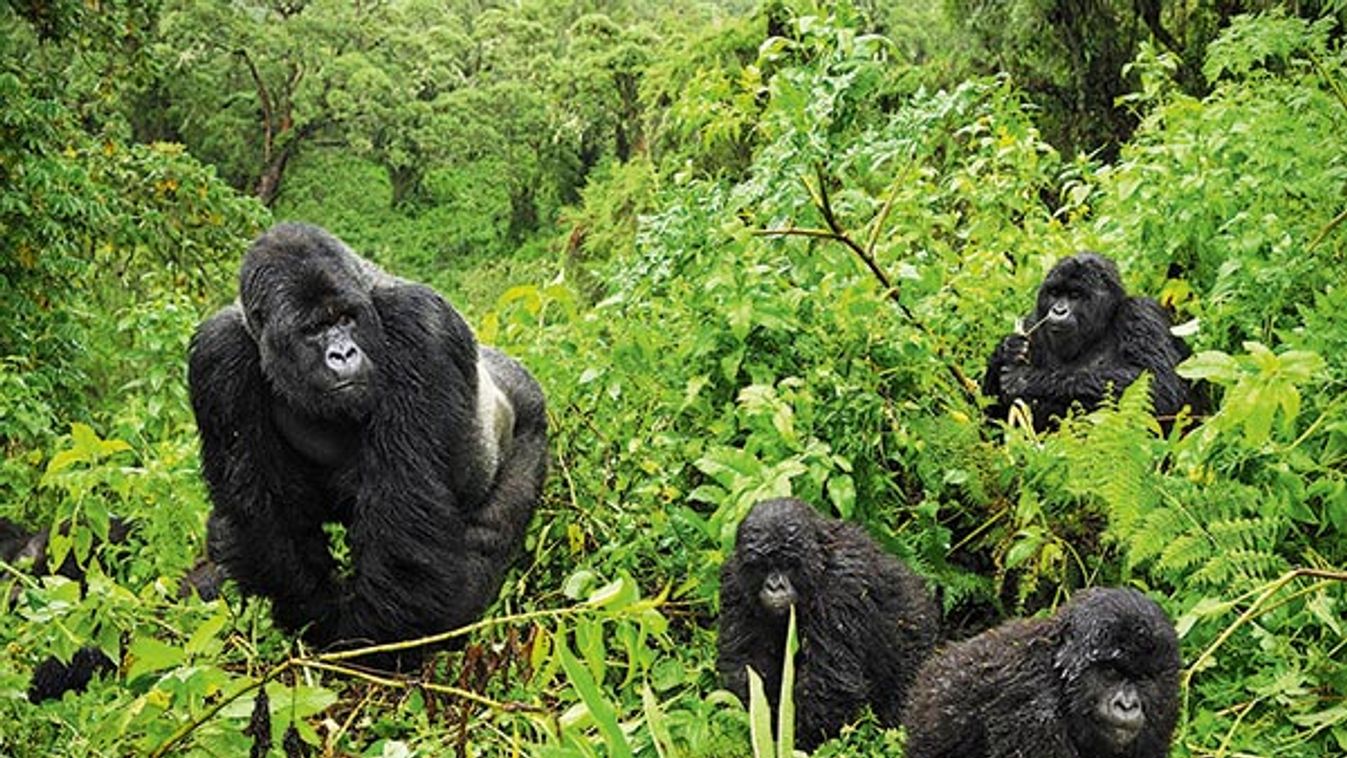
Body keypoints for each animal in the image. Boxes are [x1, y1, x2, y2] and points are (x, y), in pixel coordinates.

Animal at [189, 220, 546, 665]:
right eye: (313, 329)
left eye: (345, 318)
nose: (343, 353)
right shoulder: (217, 356)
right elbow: (263, 520)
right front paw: (312, 613)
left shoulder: (420, 326)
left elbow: (405, 521)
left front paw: (359, 637)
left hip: (529, 419)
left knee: (490, 531)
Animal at [716, 495, 937, 748]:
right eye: (762, 566)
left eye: (787, 564)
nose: (774, 586)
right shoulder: (734, 584)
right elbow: (749, 666)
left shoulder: (841, 587)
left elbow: (828, 684)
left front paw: (796, 742)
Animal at [980, 253, 1201, 433]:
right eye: (1054, 293)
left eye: (1075, 295)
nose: (1058, 310)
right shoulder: (1032, 323)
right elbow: (990, 419)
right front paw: (1006, 350)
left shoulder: (1141, 313)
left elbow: (1160, 388)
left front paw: (1026, 379)